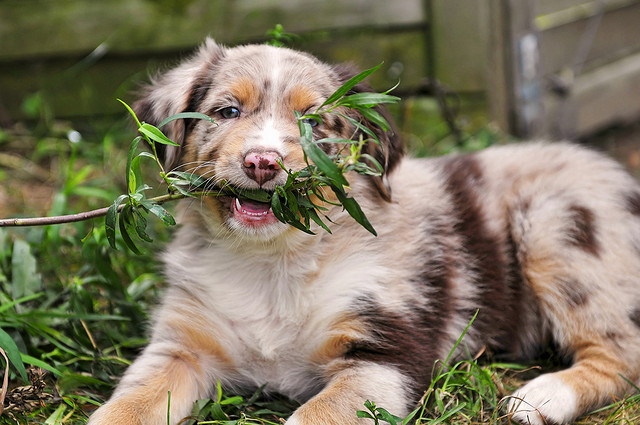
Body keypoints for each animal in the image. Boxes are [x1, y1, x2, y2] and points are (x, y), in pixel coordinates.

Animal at [87, 38, 640, 422]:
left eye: (314, 122)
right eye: (227, 111)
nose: (262, 162)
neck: (273, 262)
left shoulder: (383, 354)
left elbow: (315, 415)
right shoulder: (181, 345)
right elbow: (126, 404)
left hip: (560, 233)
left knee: (623, 353)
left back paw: (541, 397)